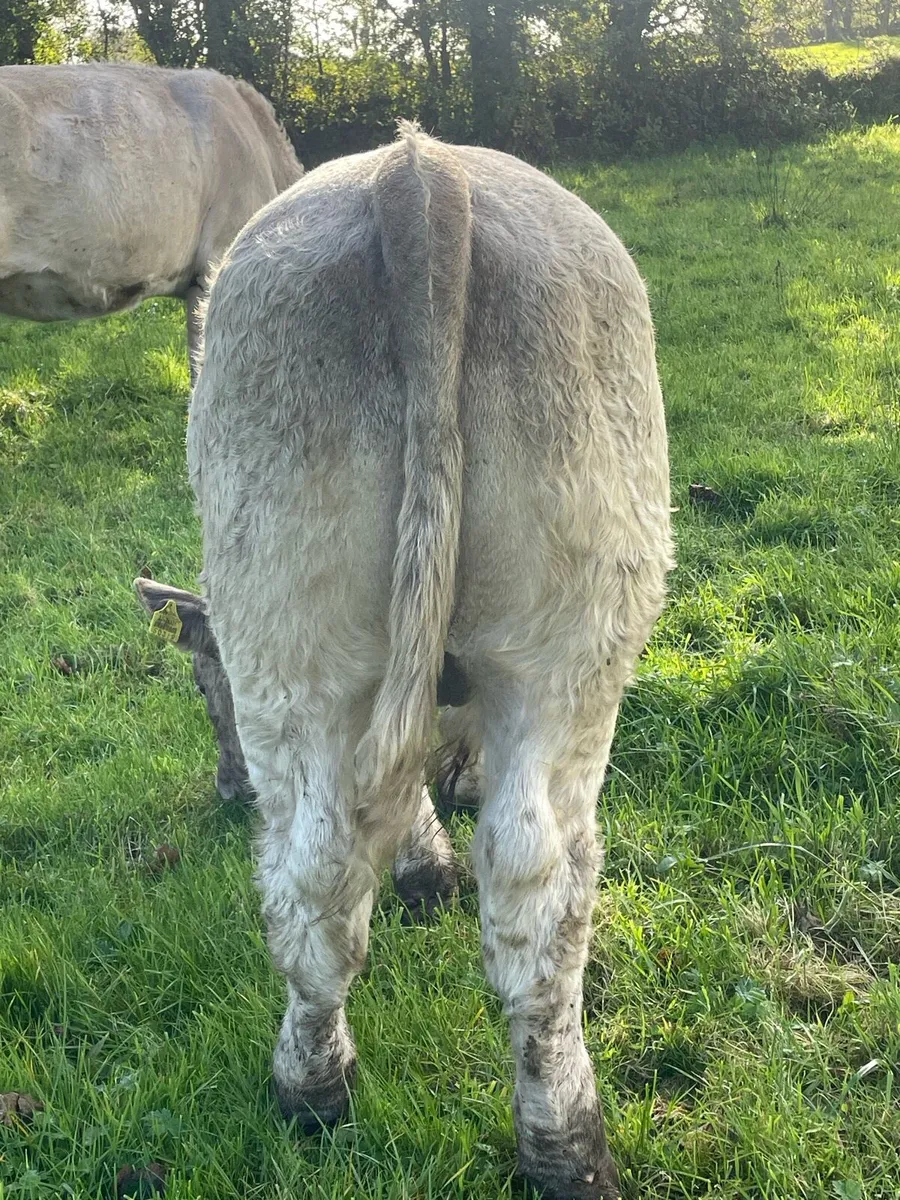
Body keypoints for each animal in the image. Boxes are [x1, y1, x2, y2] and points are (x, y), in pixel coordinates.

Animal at [168, 123, 673, 1198]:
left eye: (204, 688)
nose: (226, 787)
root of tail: (419, 169)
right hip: (562, 657)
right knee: (530, 879)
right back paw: (552, 1141)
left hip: (301, 648)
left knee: (326, 871)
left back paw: (325, 1092)